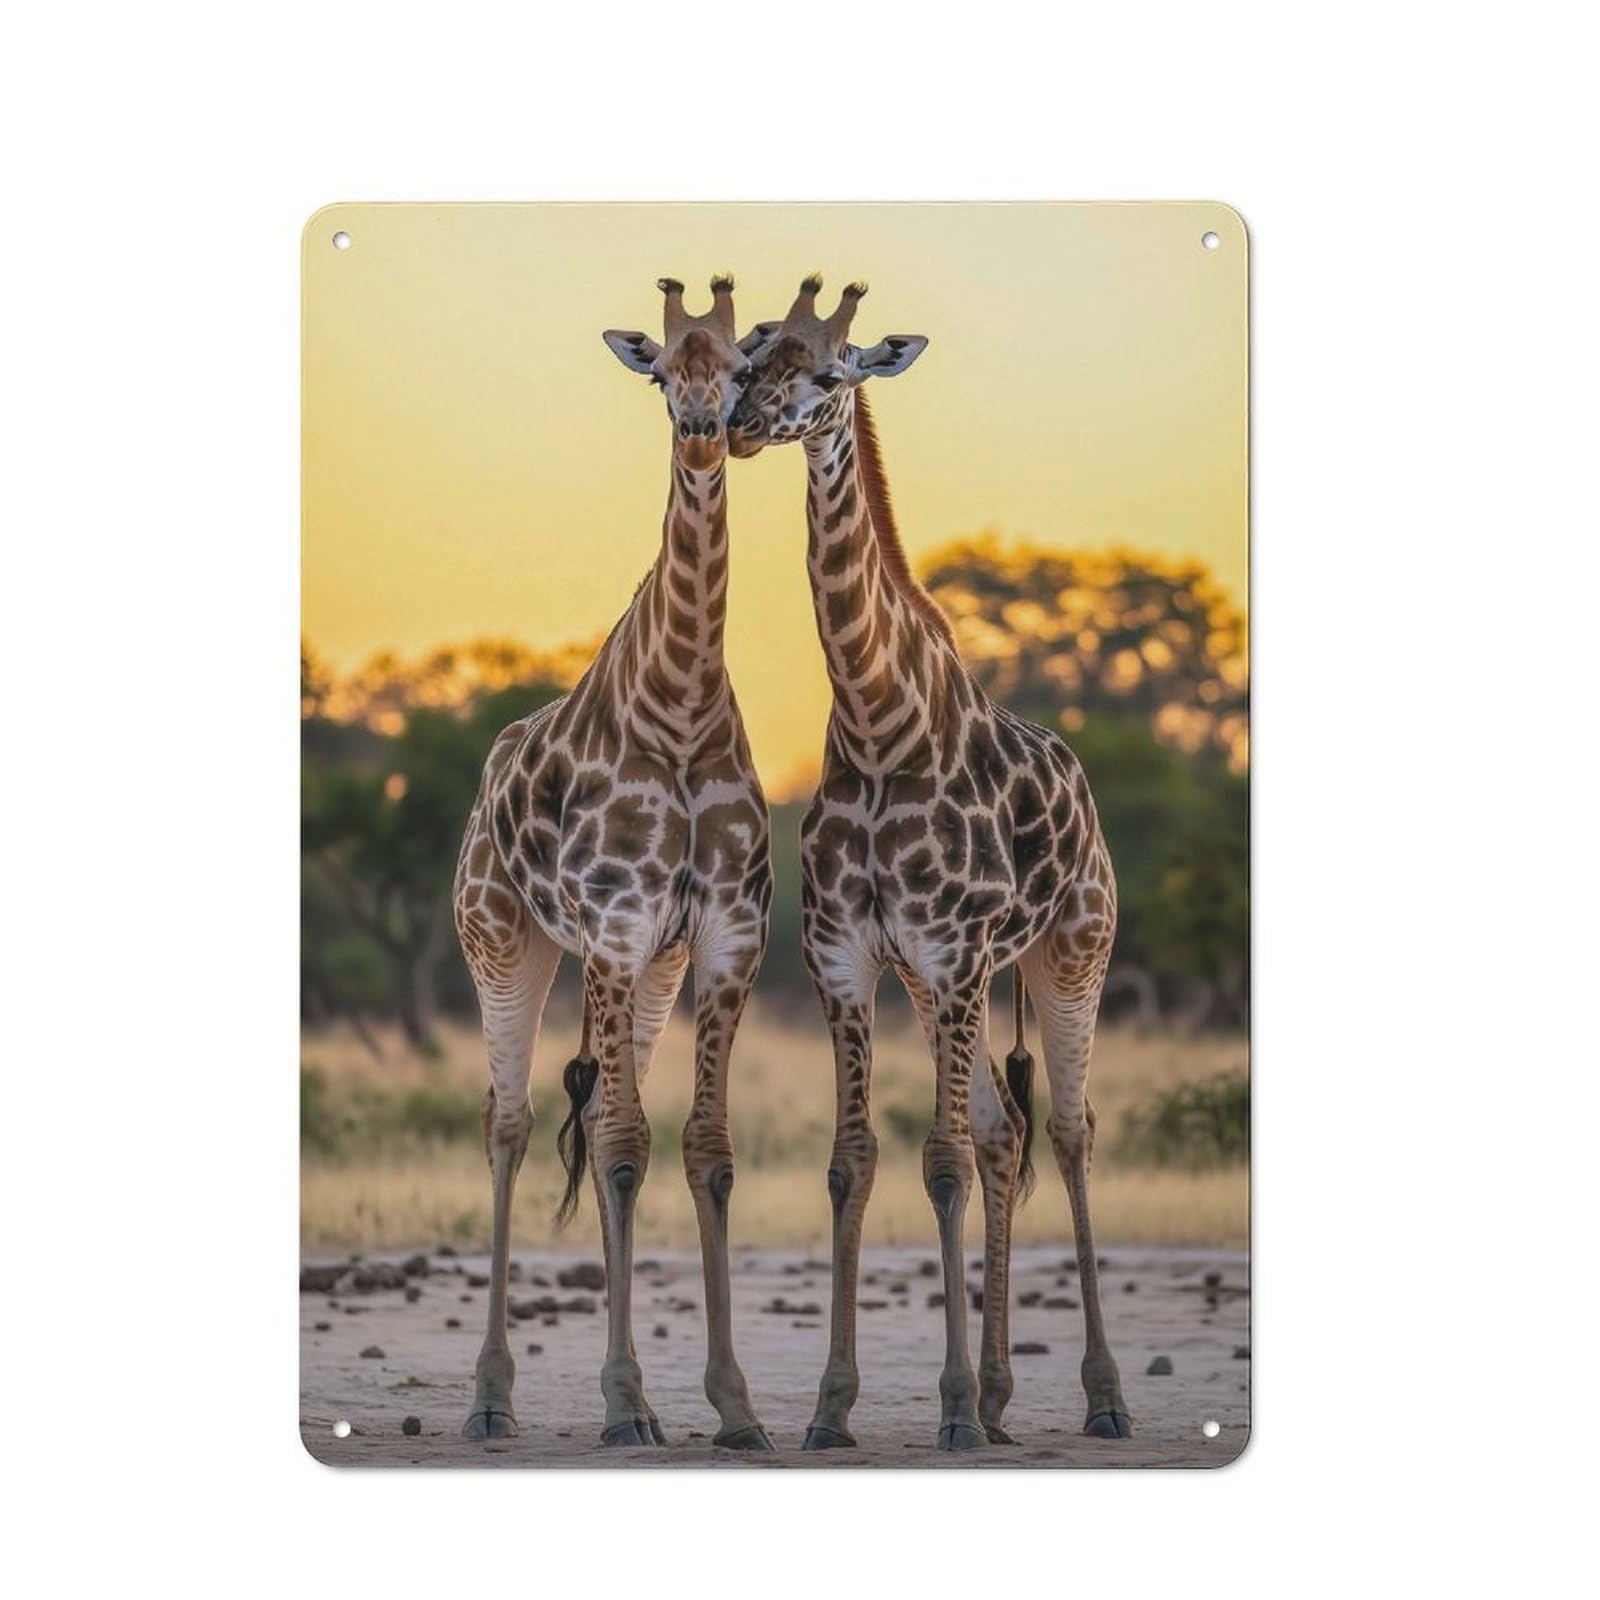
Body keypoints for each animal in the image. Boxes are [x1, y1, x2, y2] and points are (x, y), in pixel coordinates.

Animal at [451, 276, 774, 1450]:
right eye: (659, 375)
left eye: (739, 367)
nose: (703, 432)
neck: (678, 710)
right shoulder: (615, 926)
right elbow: (629, 1142)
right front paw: (630, 1401)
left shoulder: (719, 938)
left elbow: (704, 1148)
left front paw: (732, 1405)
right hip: (506, 943)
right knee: (507, 1123)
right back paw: (491, 1397)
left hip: (640, 973)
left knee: (590, 1125)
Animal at [728, 276, 1132, 1450]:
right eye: (748, 361)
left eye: (828, 372)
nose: (740, 425)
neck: (877, 730)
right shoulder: (850, 961)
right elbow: (854, 1161)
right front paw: (831, 1408)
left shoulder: (954, 958)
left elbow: (940, 1163)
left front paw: (946, 1409)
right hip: (945, 981)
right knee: (1005, 1131)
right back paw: (1000, 1398)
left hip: (1069, 951)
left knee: (1072, 1131)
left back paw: (1099, 1397)